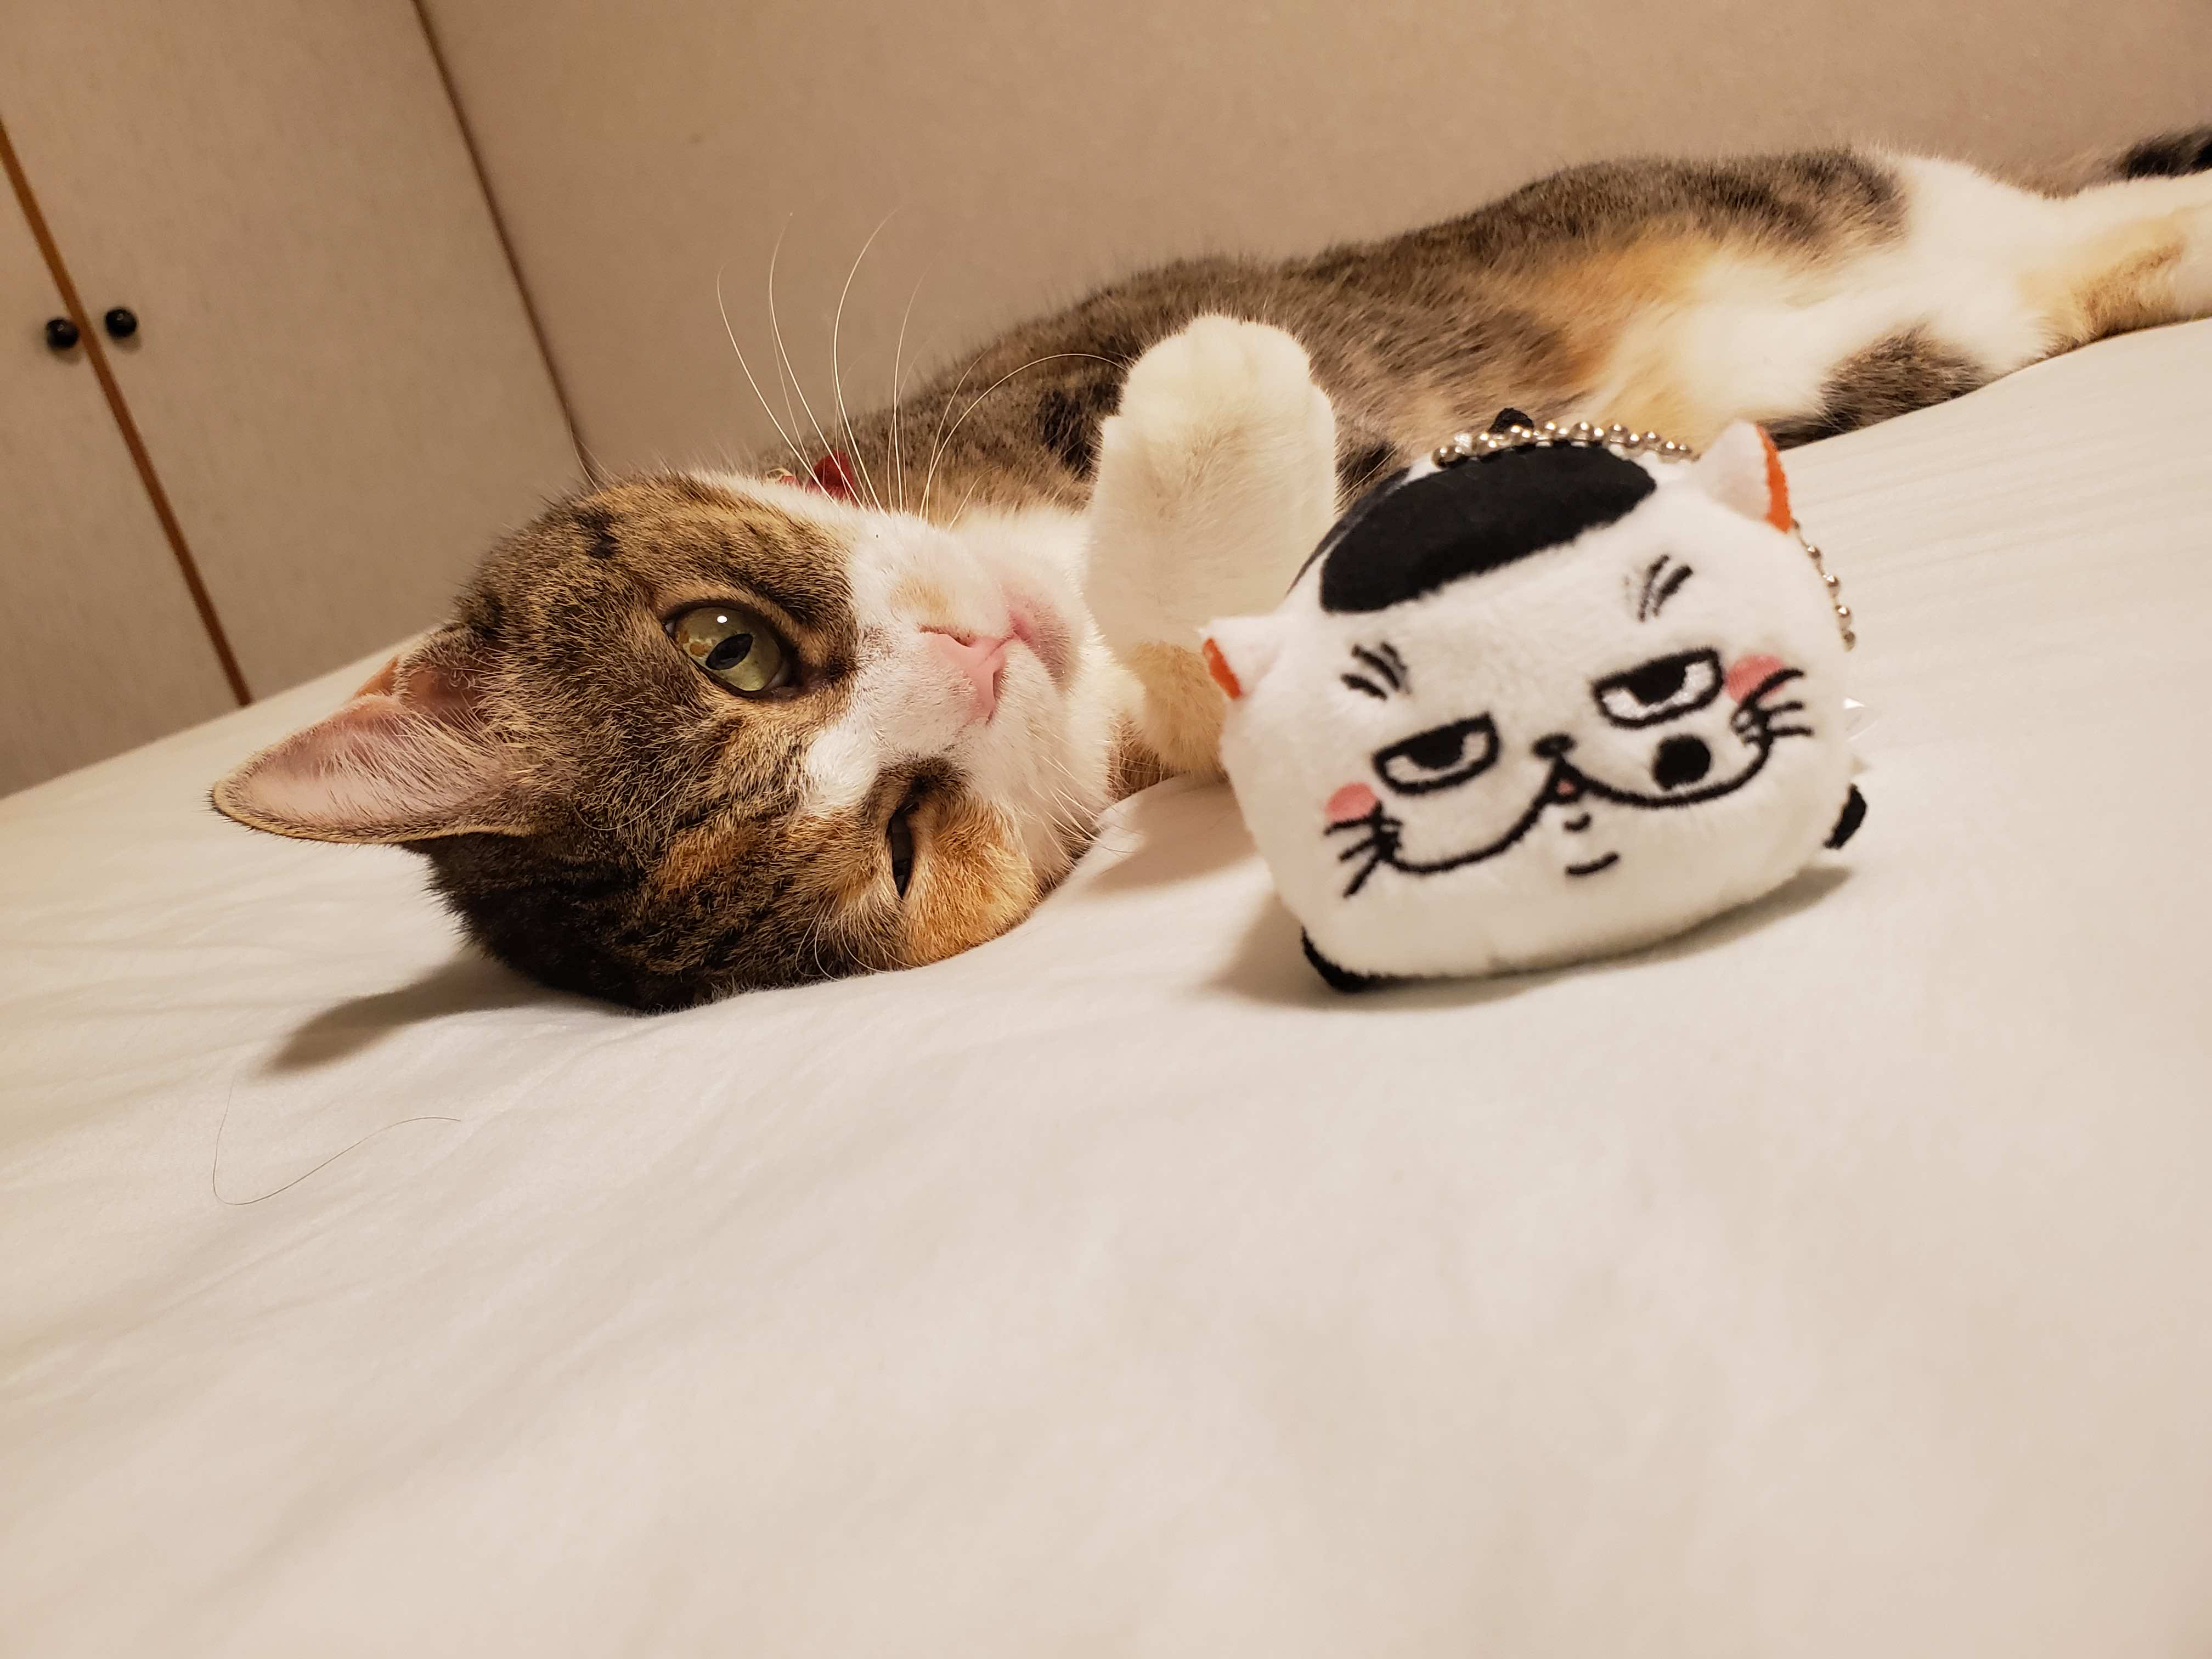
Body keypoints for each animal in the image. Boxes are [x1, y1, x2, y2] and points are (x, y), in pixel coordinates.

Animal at [213, 135, 2212, 1009]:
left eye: (734, 648)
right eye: (903, 847)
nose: (971, 651)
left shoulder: (1032, 394)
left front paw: (1210, 390)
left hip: (1811, 206)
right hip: (1895, 338)